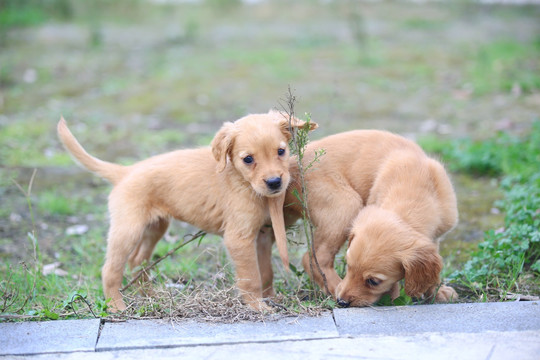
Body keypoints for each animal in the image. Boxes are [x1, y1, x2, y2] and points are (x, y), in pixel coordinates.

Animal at [56, 112, 316, 312]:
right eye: (248, 159)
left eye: (281, 151)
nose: (274, 182)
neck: (242, 181)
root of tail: (125, 171)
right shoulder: (239, 239)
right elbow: (251, 276)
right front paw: (256, 305)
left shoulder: (263, 234)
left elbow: (266, 271)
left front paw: (271, 297)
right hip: (128, 229)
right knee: (110, 269)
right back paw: (116, 306)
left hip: (155, 227)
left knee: (137, 260)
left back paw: (150, 295)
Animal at [284, 129, 458, 306]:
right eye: (349, 267)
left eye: (373, 281)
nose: (342, 302)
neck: (414, 188)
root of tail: (291, 163)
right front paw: (394, 299)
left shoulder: (435, 237)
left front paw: (437, 292)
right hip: (346, 204)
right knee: (313, 258)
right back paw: (334, 287)